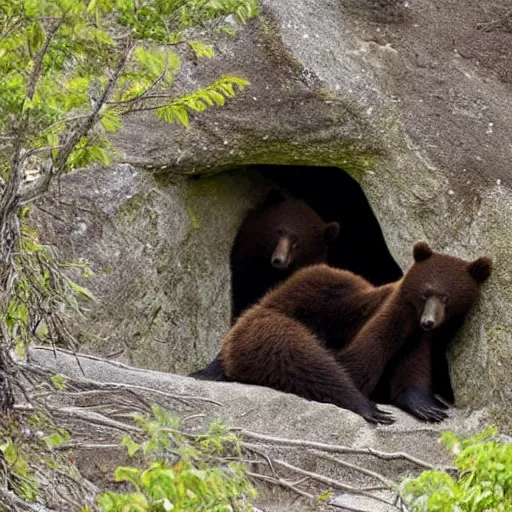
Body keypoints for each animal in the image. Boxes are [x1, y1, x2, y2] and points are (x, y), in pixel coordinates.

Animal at [220, 243, 492, 424]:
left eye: (447, 298)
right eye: (426, 293)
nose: (429, 321)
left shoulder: (417, 340)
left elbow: (412, 372)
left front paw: (427, 406)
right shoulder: (382, 321)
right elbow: (354, 363)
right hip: (263, 326)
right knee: (295, 353)